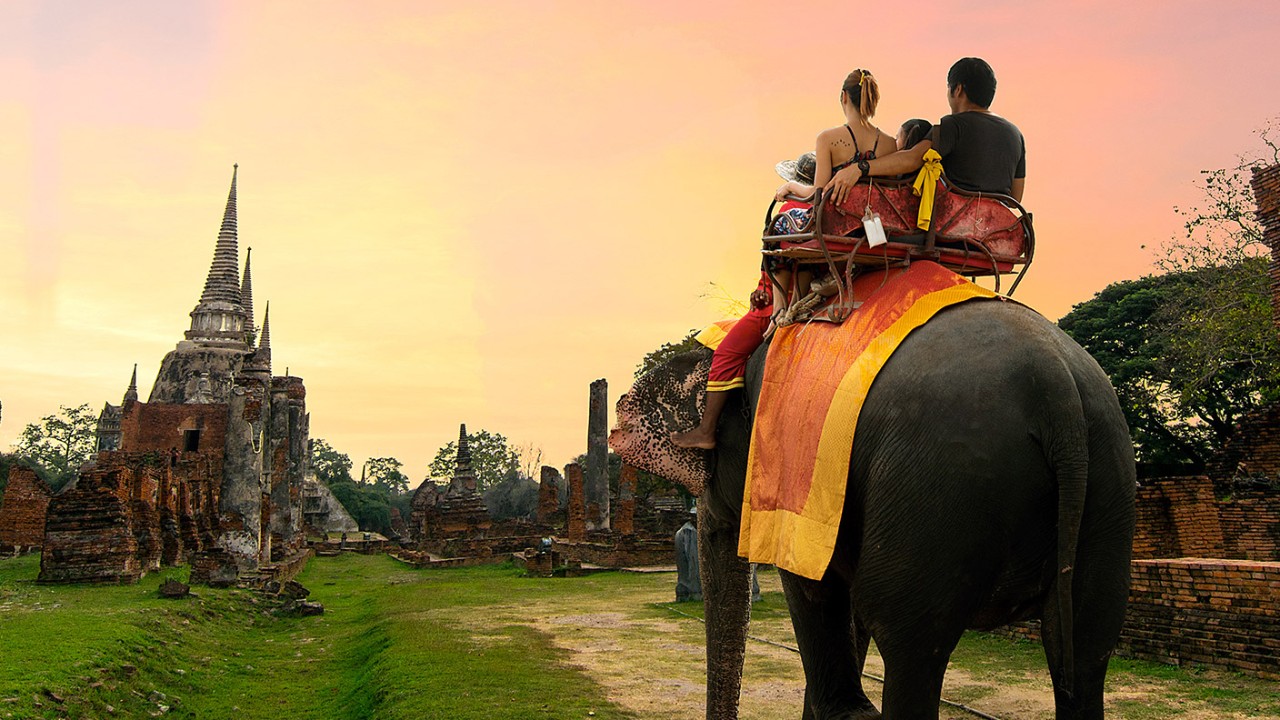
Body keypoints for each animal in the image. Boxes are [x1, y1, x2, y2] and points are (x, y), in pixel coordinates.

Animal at [606, 298, 1131, 717]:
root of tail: (1057, 388)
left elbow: (816, 590)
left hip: (940, 481)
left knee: (910, 642)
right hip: (1106, 478)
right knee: (1084, 642)